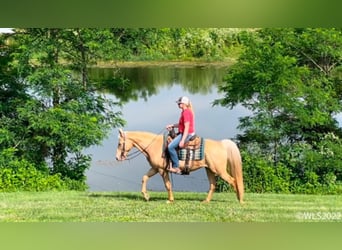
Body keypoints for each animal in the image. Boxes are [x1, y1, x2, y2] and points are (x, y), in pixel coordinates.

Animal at [115, 129, 243, 203]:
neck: (155, 145)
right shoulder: (156, 168)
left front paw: (170, 200)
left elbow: (167, 185)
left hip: (219, 170)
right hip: (210, 169)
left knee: (233, 180)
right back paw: (206, 201)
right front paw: (146, 196)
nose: (117, 158)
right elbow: (144, 178)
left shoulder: (162, 170)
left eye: (120, 144)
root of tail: (221, 144)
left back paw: (240, 200)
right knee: (213, 185)